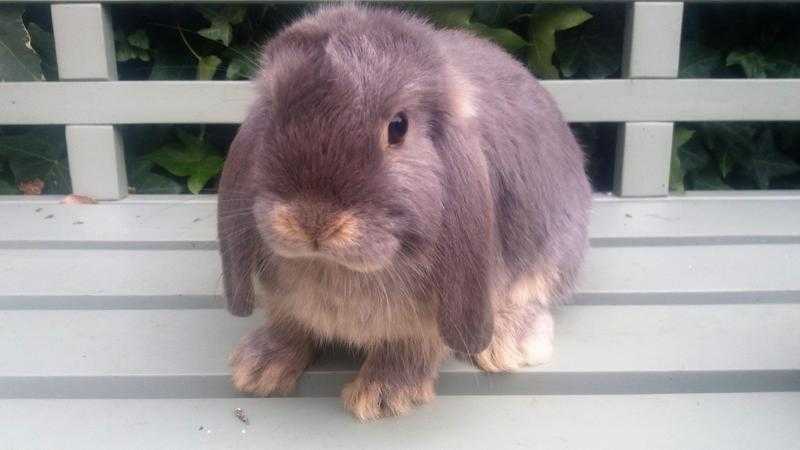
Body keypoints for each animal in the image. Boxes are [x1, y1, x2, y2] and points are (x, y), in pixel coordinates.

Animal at [219, 4, 592, 422]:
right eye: (272, 114)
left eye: (398, 127)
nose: (312, 220)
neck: (335, 269)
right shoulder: (287, 301)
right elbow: (290, 325)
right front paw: (259, 367)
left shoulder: (430, 317)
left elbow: (410, 346)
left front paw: (382, 394)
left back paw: (510, 345)